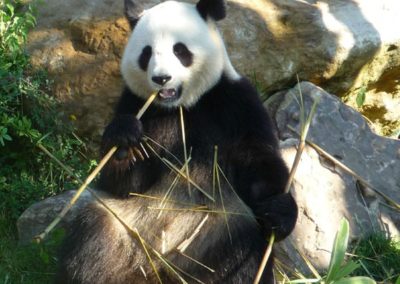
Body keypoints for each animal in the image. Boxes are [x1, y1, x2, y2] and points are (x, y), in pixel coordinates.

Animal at [57, 0, 298, 282]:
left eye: (180, 50)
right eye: (147, 53)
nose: (161, 78)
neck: (180, 107)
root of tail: (161, 264)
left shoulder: (235, 102)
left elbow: (259, 160)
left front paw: (280, 211)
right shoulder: (135, 103)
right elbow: (123, 184)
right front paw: (124, 139)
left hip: (215, 232)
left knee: (243, 254)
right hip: (127, 225)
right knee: (95, 236)